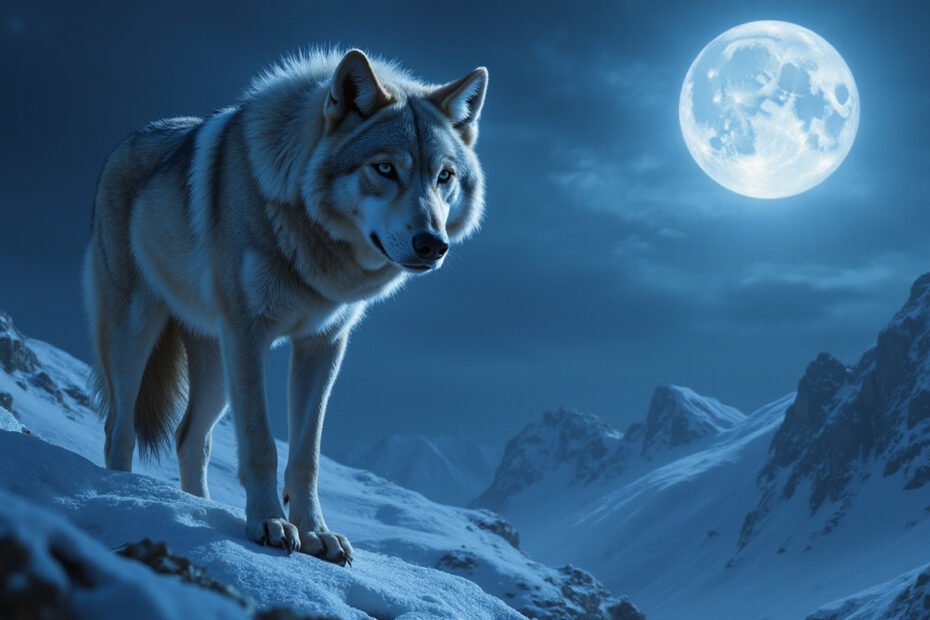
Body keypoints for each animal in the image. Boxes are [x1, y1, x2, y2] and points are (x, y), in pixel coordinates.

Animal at [83, 49, 487, 565]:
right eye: (384, 169)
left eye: (444, 177)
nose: (432, 244)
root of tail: (130, 138)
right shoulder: (248, 335)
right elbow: (261, 445)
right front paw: (269, 523)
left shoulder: (324, 343)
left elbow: (306, 456)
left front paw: (316, 533)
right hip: (137, 335)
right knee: (119, 427)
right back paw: (121, 494)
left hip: (217, 371)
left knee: (190, 437)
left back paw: (197, 507)